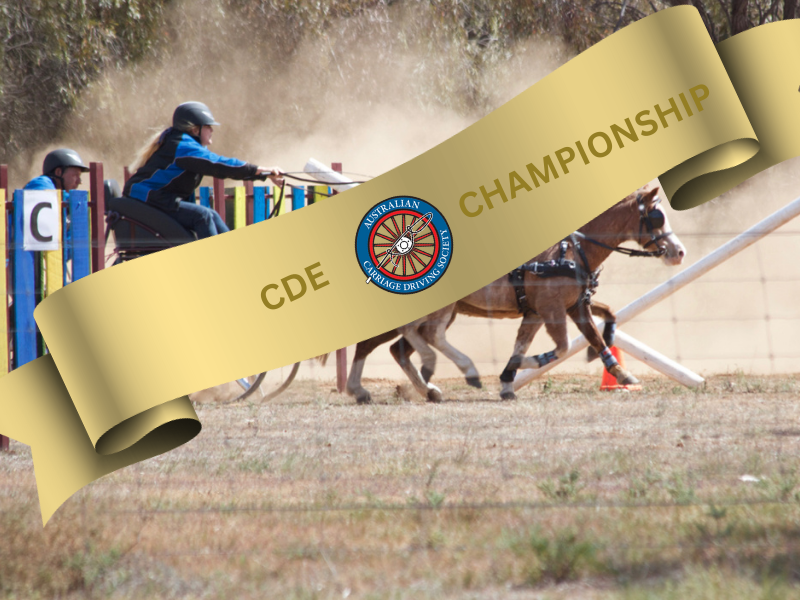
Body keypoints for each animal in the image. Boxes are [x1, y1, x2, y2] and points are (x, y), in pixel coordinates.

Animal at [340, 186, 684, 404]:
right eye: (656, 217)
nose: (679, 252)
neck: (572, 252)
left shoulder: (569, 307)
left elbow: (600, 328)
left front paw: (622, 373)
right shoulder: (551, 310)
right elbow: (558, 348)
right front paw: (515, 370)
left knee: (399, 347)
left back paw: (424, 390)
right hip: (440, 310)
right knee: (406, 339)